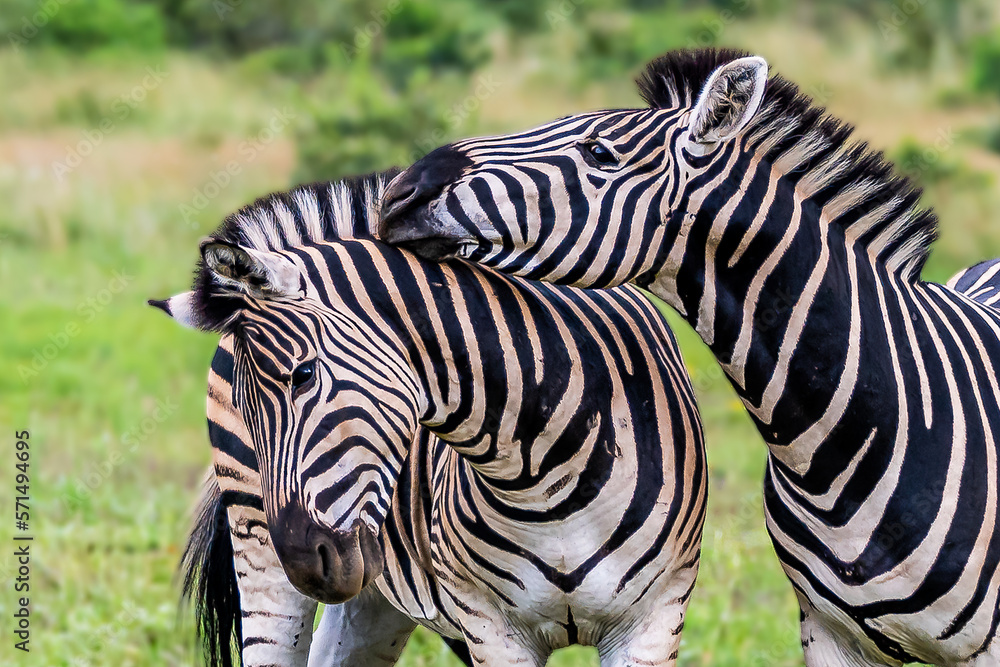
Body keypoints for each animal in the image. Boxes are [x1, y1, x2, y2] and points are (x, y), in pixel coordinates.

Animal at [155, 231, 707, 665]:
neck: (548, 486)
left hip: (372, 591)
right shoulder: (490, 626)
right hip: (261, 556)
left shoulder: (656, 616)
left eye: (304, 375)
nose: (307, 567)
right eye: (244, 412)